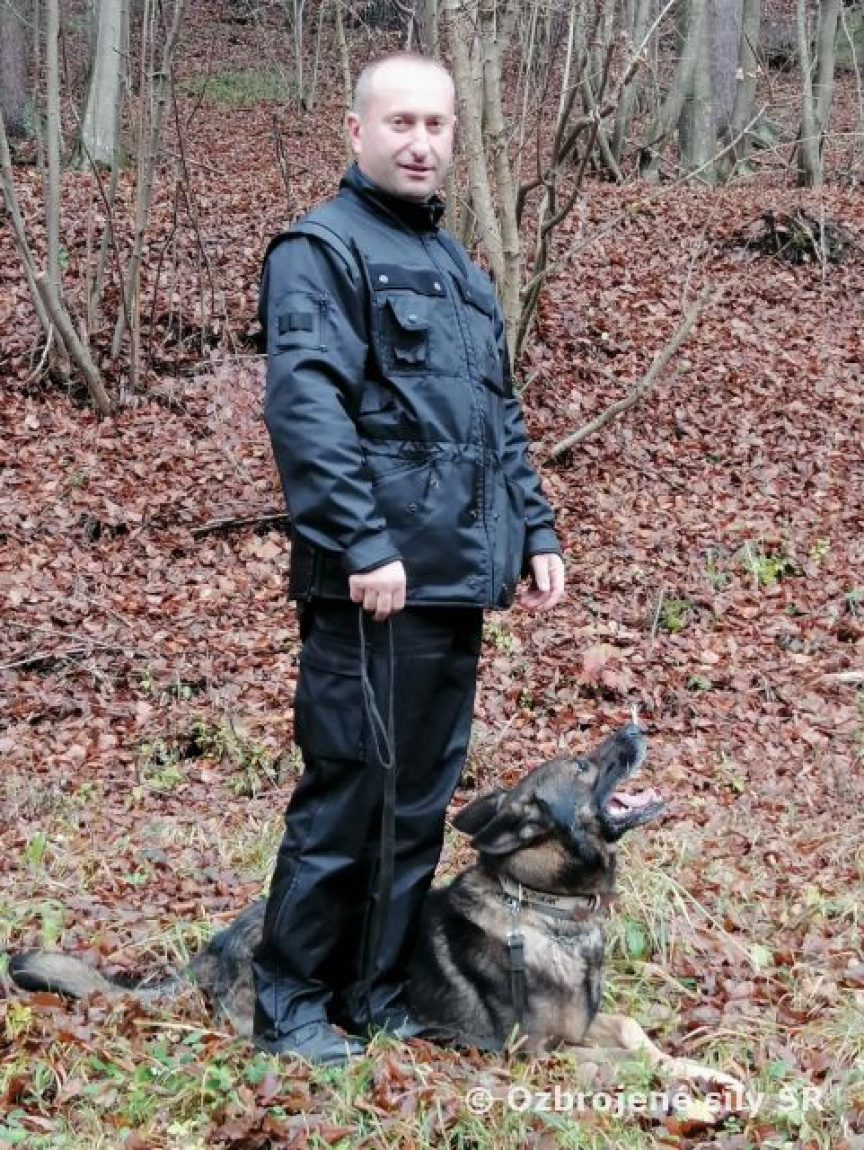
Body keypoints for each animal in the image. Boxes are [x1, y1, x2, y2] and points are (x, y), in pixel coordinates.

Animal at [8, 724, 739, 1087]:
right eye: (584, 768)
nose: (632, 724)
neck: (541, 907)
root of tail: (211, 952)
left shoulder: (589, 1028)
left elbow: (640, 1038)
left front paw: (708, 1074)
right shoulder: (540, 1054)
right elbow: (626, 1064)